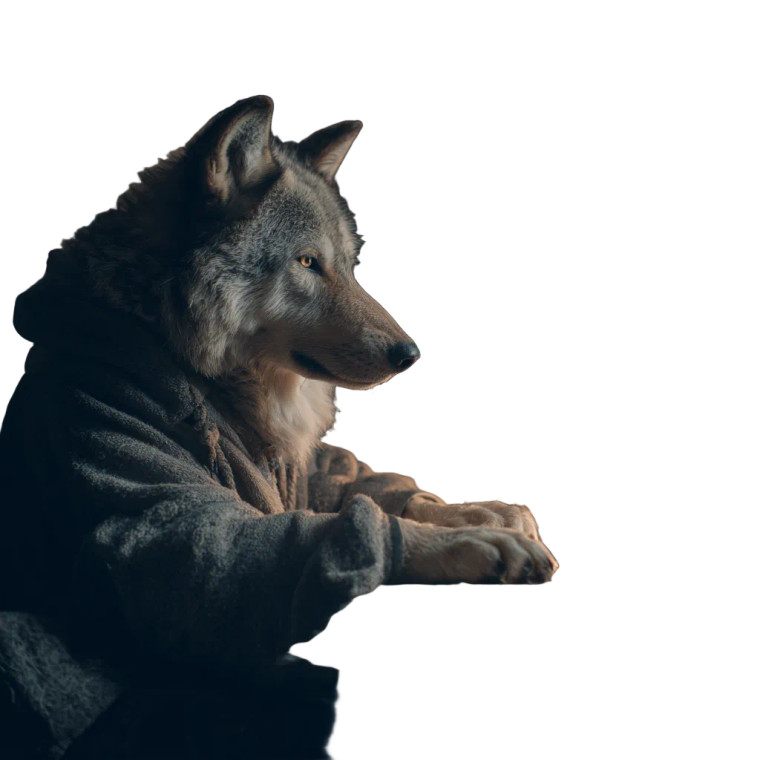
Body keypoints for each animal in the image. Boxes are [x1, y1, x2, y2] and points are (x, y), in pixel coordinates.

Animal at [0, 96, 556, 756]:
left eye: (350, 265)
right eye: (307, 263)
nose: (411, 354)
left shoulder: (306, 468)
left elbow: (363, 485)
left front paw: (482, 512)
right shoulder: (166, 527)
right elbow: (321, 536)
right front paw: (478, 543)